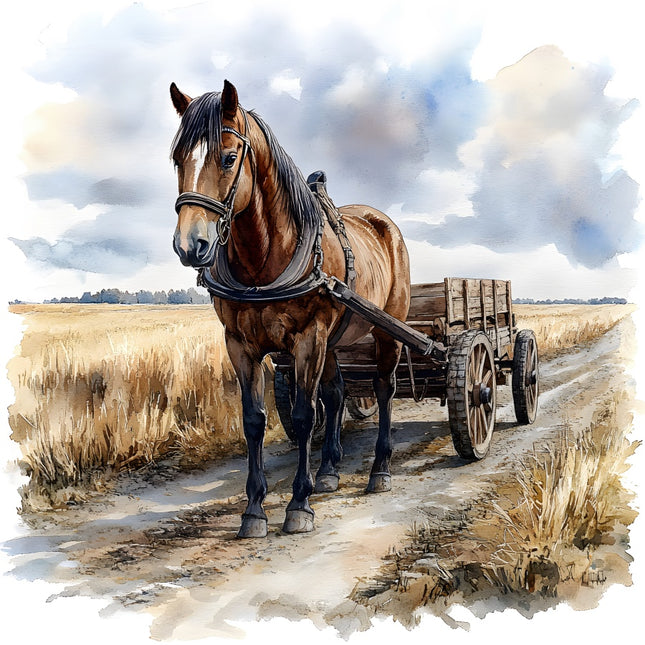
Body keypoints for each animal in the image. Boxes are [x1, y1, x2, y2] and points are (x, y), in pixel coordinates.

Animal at [170, 80, 410, 538]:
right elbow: (255, 420)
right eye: (177, 159)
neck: (264, 261)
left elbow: (302, 416)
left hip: (387, 329)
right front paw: (253, 509)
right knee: (336, 395)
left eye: (229, 158)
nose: (191, 245)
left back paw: (380, 470)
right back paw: (330, 470)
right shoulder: (239, 344)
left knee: (383, 389)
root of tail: (381, 220)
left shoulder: (307, 338)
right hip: (334, 341)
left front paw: (299, 503)